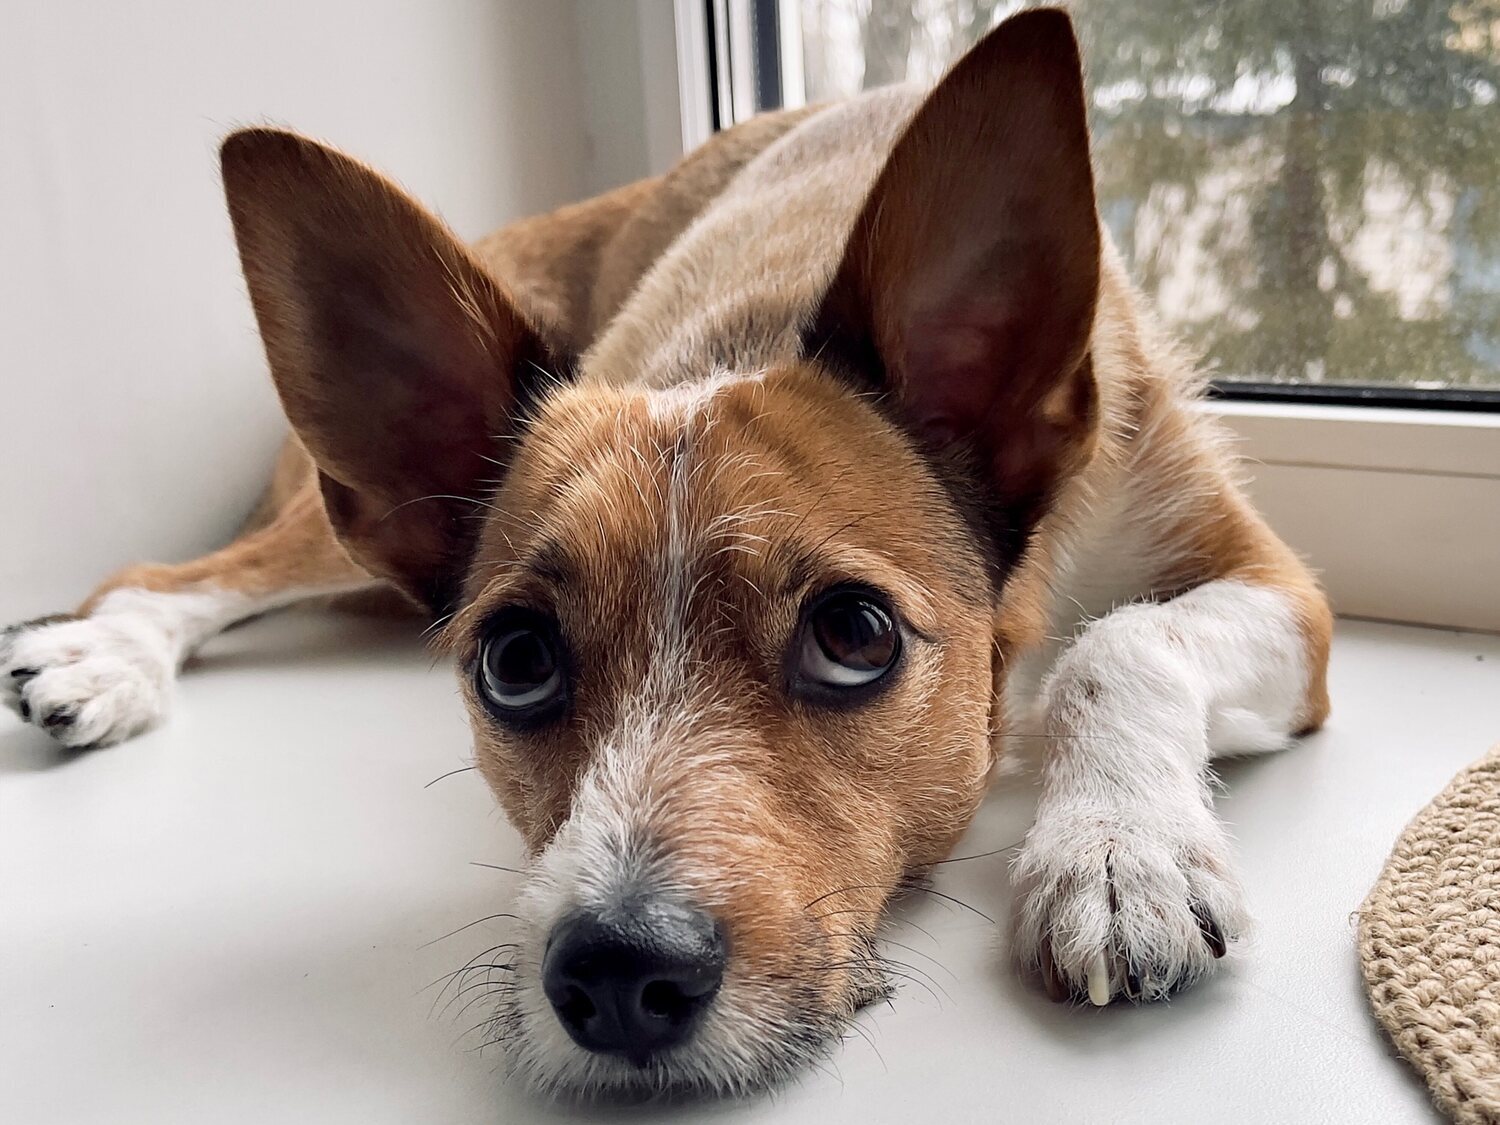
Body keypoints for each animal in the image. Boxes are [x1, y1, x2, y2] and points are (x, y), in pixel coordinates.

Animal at [5, 8, 1332, 1104]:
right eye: (516, 660)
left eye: (853, 634)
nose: (613, 974)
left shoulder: (1278, 592)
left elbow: (1121, 639)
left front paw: (1117, 850)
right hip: (321, 539)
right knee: (168, 577)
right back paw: (98, 659)